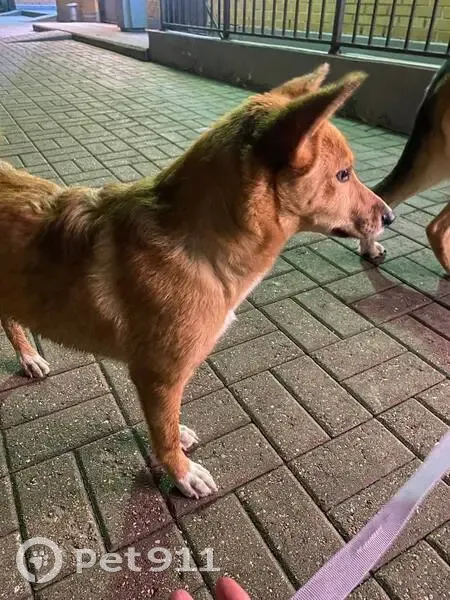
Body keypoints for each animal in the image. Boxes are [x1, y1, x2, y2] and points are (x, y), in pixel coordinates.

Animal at [0, 63, 393, 498]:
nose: (390, 217)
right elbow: (165, 434)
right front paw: (181, 472)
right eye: (343, 174)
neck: (195, 245)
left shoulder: (159, 382)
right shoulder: (158, 377)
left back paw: (28, 356)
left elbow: (166, 426)